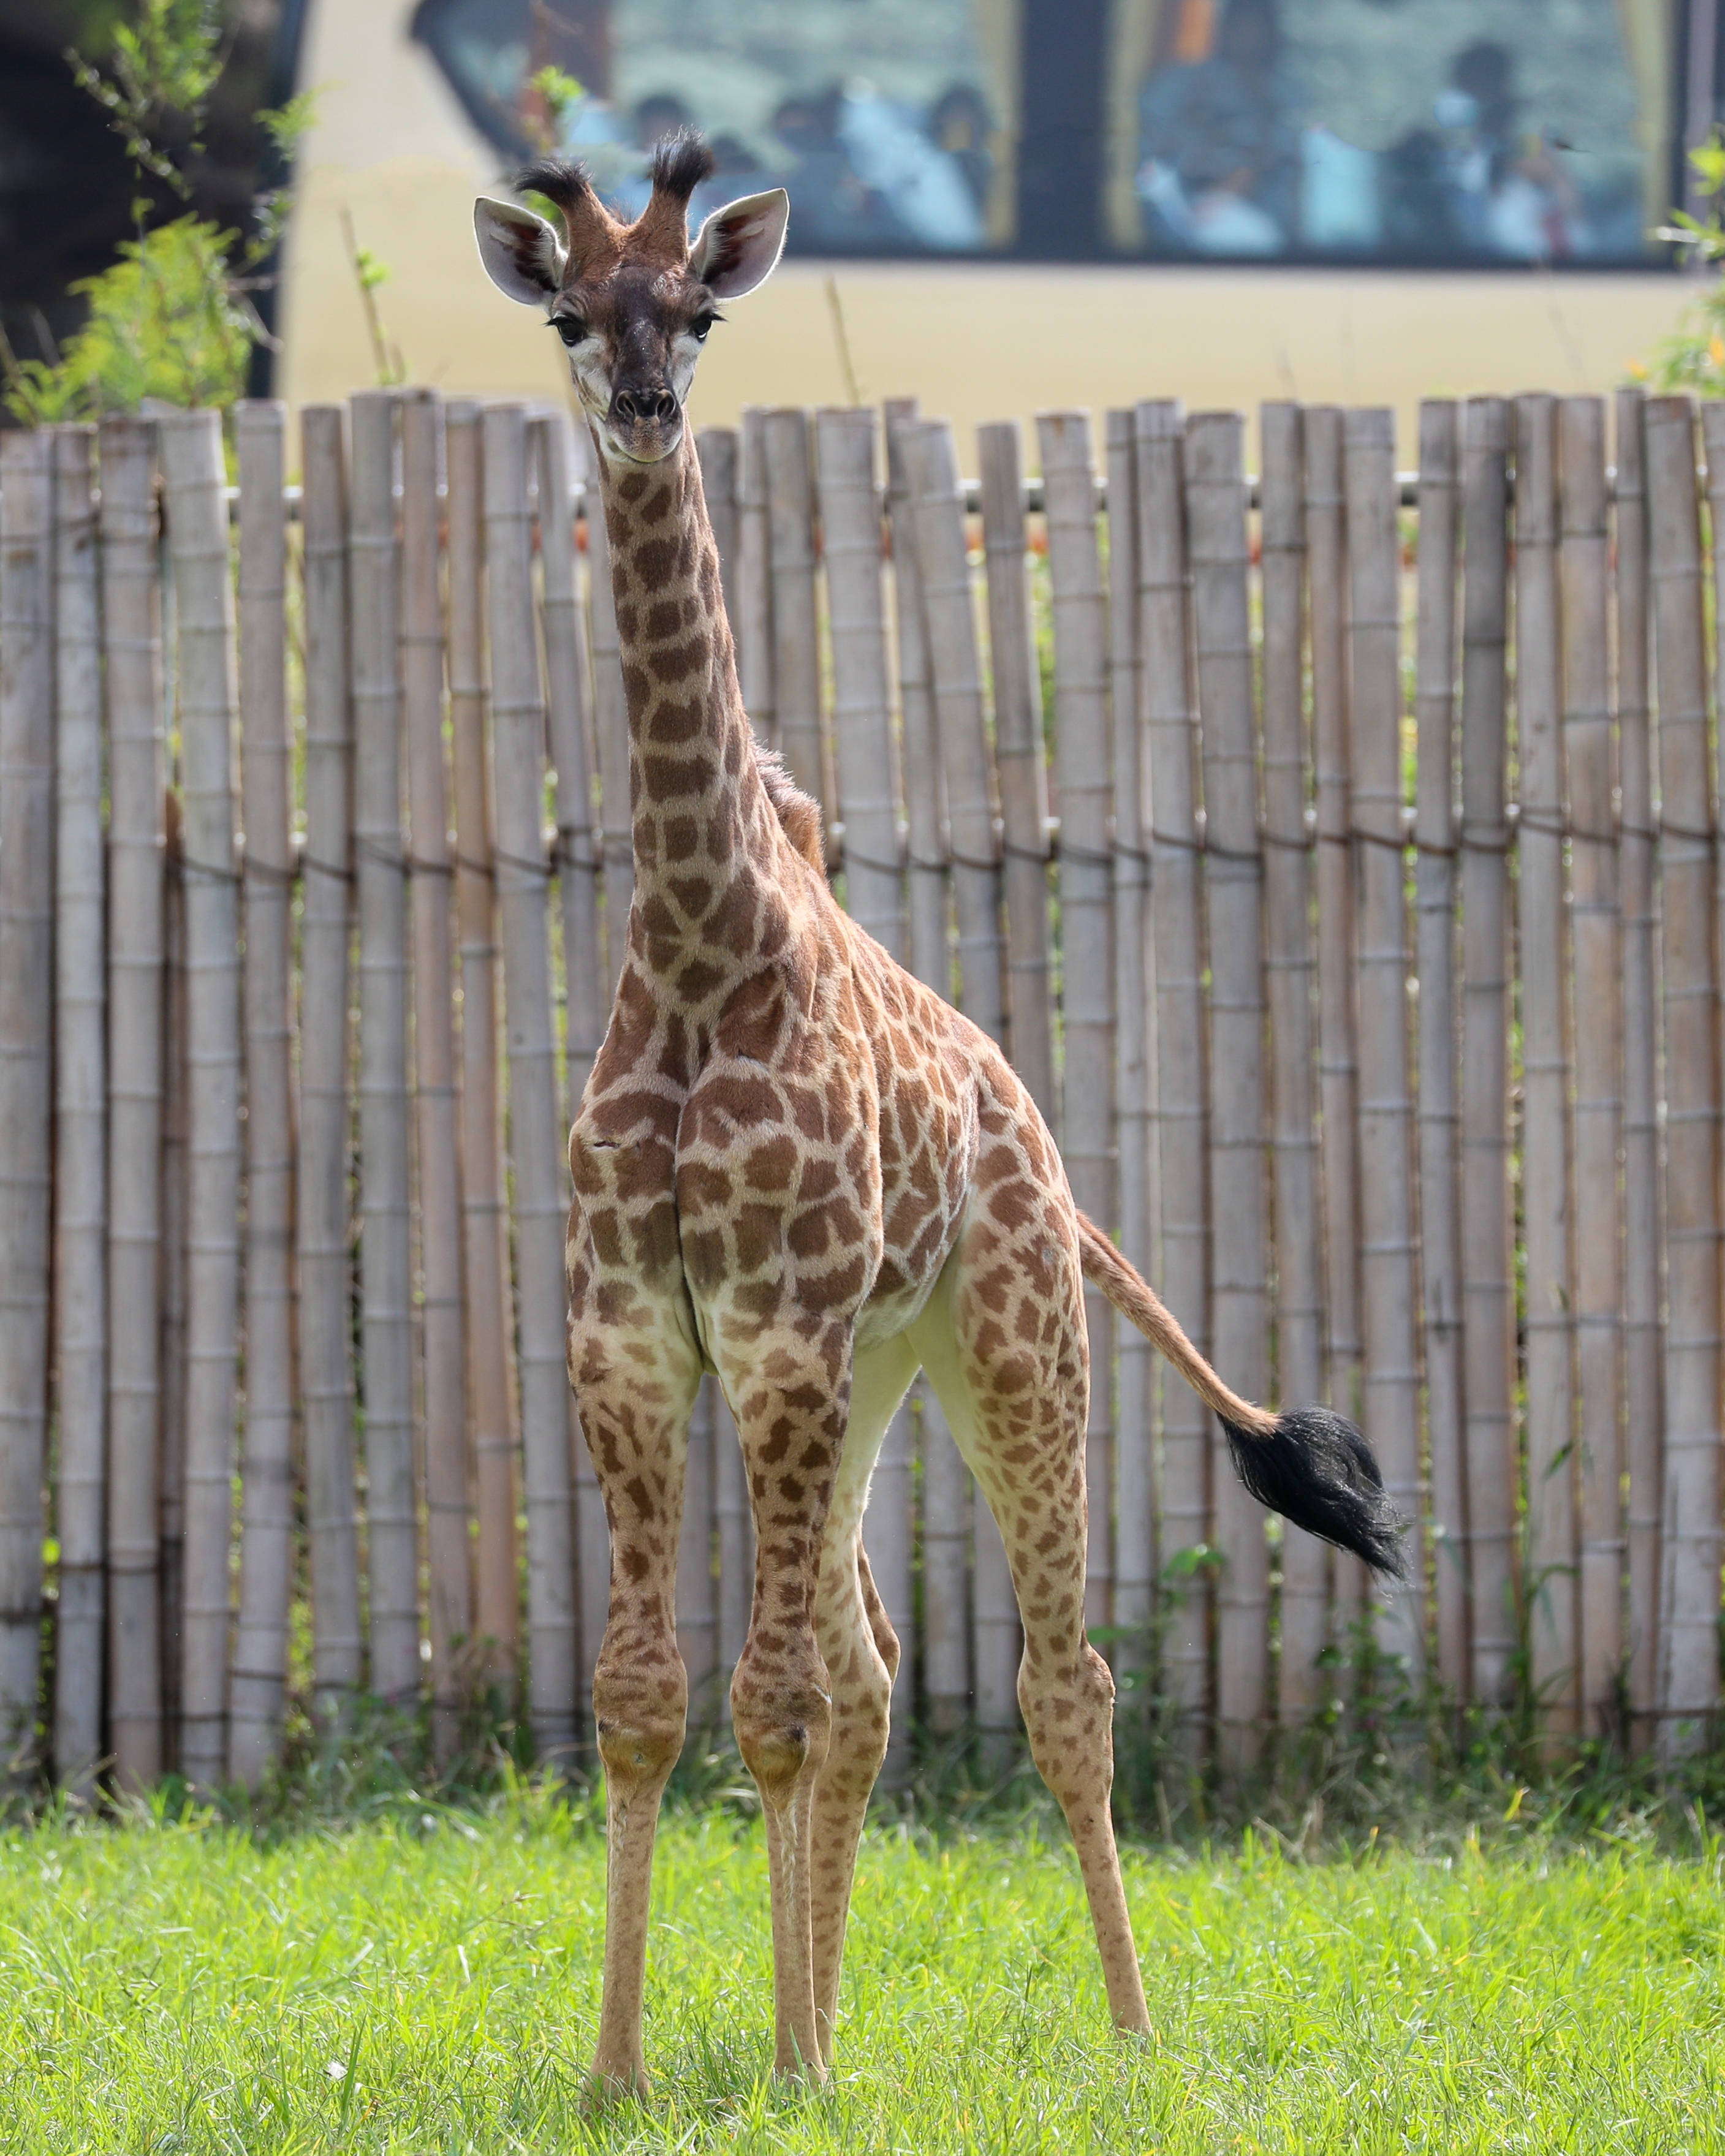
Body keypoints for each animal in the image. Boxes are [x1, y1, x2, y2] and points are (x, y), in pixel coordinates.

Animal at [474, 134, 1397, 2087]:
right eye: (573, 316)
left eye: (701, 310)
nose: (644, 410)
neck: (700, 938)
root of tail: (1028, 1121)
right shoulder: (632, 1333)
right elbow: (646, 1696)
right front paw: (631, 2068)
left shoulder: (771, 1331)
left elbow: (763, 1699)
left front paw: (782, 2073)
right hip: (880, 1369)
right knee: (878, 1662)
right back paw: (812, 2023)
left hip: (1004, 1338)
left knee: (1052, 1672)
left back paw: (1121, 2035)